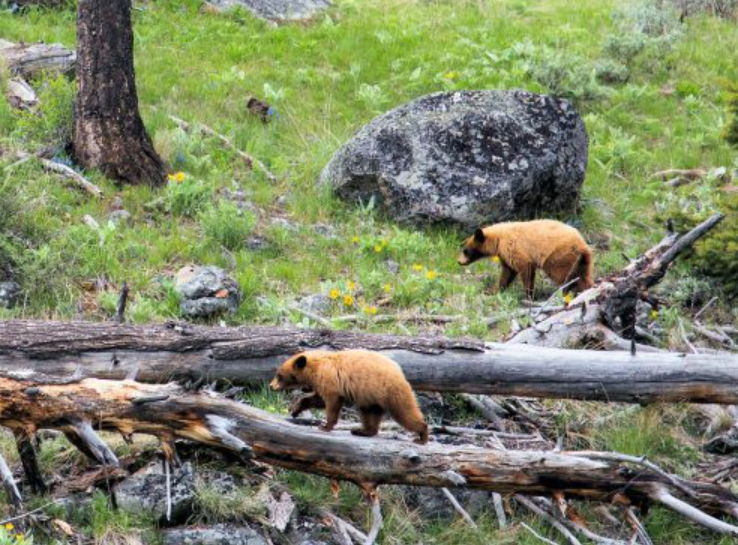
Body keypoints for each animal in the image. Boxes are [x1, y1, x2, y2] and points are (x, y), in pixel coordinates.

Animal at [268, 348, 432, 442]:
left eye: (279, 375)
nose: (270, 386)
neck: (315, 367)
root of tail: (400, 371)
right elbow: (317, 399)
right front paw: (295, 410)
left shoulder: (329, 379)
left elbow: (331, 401)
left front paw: (325, 426)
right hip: (371, 397)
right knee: (369, 413)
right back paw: (363, 431)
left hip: (391, 391)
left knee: (405, 412)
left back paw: (422, 436)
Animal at [454, 219, 592, 300]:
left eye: (465, 250)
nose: (459, 262)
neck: (499, 238)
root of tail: (582, 245)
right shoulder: (505, 255)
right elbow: (507, 272)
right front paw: (493, 291)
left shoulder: (514, 248)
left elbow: (525, 270)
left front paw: (528, 295)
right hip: (583, 261)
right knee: (584, 276)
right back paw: (585, 290)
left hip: (558, 257)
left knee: (564, 275)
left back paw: (567, 291)